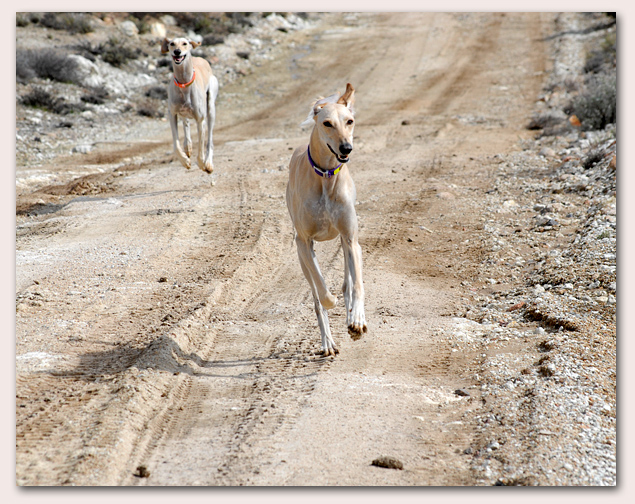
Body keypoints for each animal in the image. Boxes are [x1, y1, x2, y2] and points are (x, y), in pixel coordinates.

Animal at [161, 36, 219, 172]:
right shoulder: (172, 114)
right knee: (185, 122)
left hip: (211, 108)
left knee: (209, 140)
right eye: (172, 43)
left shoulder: (200, 120)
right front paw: (185, 160)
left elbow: (201, 148)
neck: (184, 83)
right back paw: (187, 146)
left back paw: (208, 162)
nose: (177, 51)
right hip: (183, 112)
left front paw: (203, 164)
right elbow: (176, 144)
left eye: (184, 43)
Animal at [286, 83, 368, 358]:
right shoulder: (304, 243)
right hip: (302, 256)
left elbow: (357, 285)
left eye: (349, 121)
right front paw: (331, 303)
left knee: (348, 282)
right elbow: (322, 291)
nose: (346, 148)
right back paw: (327, 342)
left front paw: (357, 320)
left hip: (344, 241)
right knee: (316, 295)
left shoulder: (351, 238)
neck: (326, 176)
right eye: (327, 123)